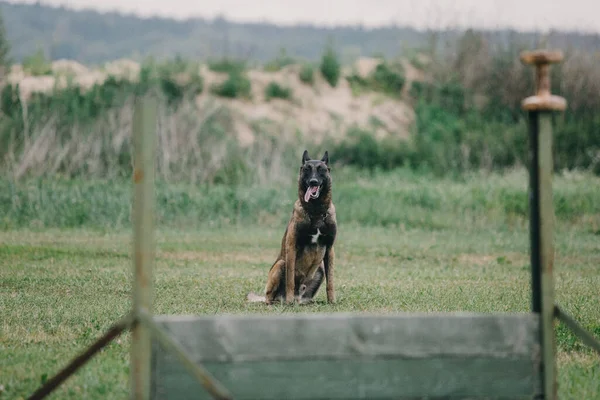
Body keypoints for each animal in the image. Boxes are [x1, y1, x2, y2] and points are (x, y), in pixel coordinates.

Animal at [245, 150, 338, 304]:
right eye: (307, 169)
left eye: (321, 170)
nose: (313, 181)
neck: (315, 212)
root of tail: (297, 296)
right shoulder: (291, 247)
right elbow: (290, 280)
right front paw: (289, 303)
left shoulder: (330, 250)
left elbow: (330, 281)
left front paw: (332, 301)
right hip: (281, 264)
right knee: (270, 298)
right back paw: (282, 301)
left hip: (319, 270)